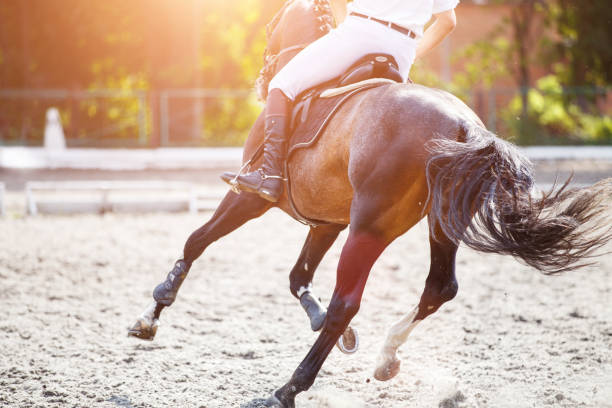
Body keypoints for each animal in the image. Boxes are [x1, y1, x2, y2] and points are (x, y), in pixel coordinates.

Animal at [126, 1, 608, 406]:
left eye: (270, 26)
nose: (262, 80)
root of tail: (464, 126)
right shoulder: (326, 220)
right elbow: (297, 276)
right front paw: (324, 322)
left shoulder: (250, 196)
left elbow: (196, 241)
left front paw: (150, 316)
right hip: (438, 223)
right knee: (439, 287)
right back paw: (385, 357)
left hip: (370, 228)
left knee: (349, 301)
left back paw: (288, 389)